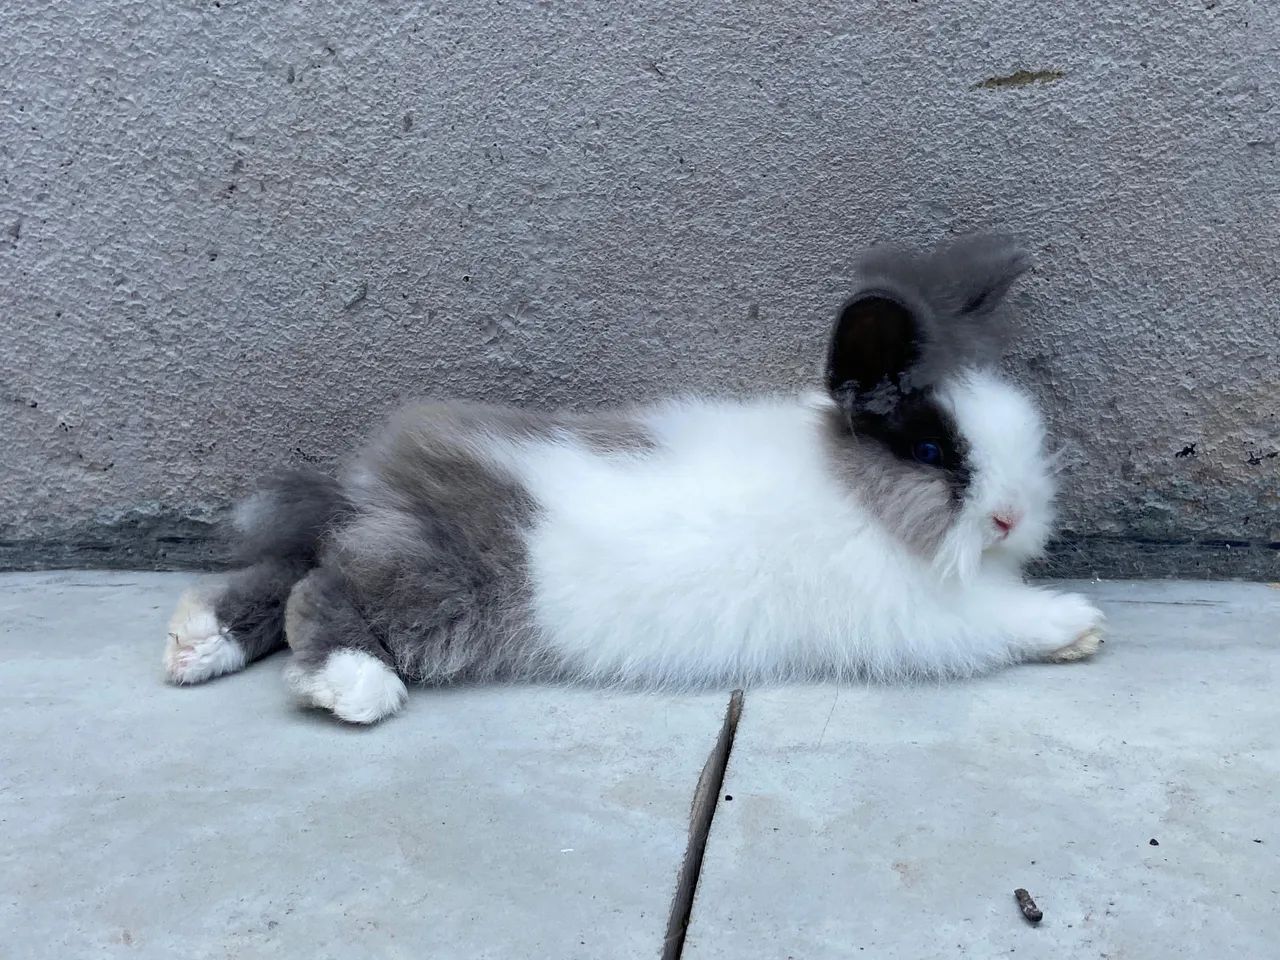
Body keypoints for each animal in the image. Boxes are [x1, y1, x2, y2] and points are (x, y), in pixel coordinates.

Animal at [163, 233, 1103, 724]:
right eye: (936, 453)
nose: (1015, 517)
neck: (858, 497)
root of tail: (371, 484)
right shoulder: (916, 614)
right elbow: (996, 619)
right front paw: (1077, 623)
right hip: (440, 585)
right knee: (318, 590)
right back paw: (356, 684)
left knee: (291, 566)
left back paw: (196, 644)